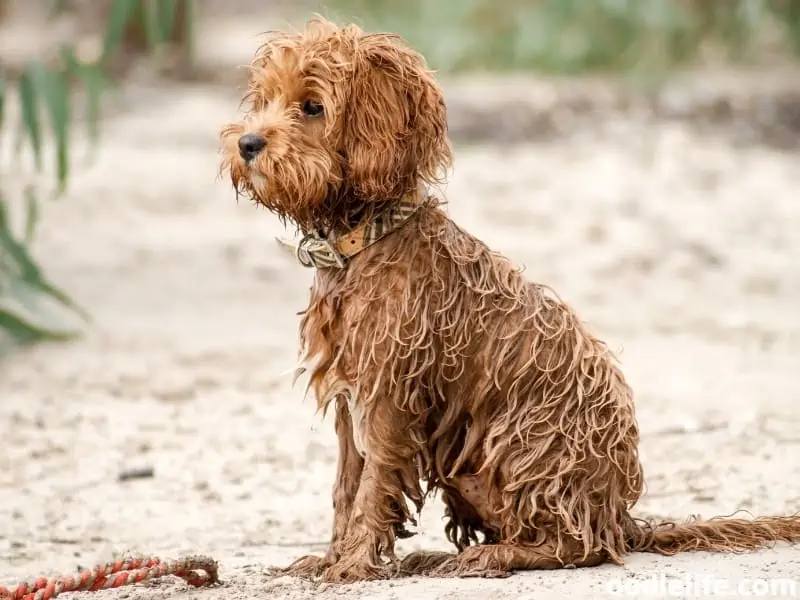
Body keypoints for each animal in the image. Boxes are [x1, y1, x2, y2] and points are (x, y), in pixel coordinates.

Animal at [219, 17, 800, 580]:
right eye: (264, 100)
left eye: (312, 106)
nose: (247, 143)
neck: (368, 239)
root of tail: (619, 516)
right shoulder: (350, 397)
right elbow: (346, 484)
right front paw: (331, 557)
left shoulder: (390, 395)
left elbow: (373, 483)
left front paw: (355, 564)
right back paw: (439, 558)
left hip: (523, 441)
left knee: (574, 546)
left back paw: (491, 557)